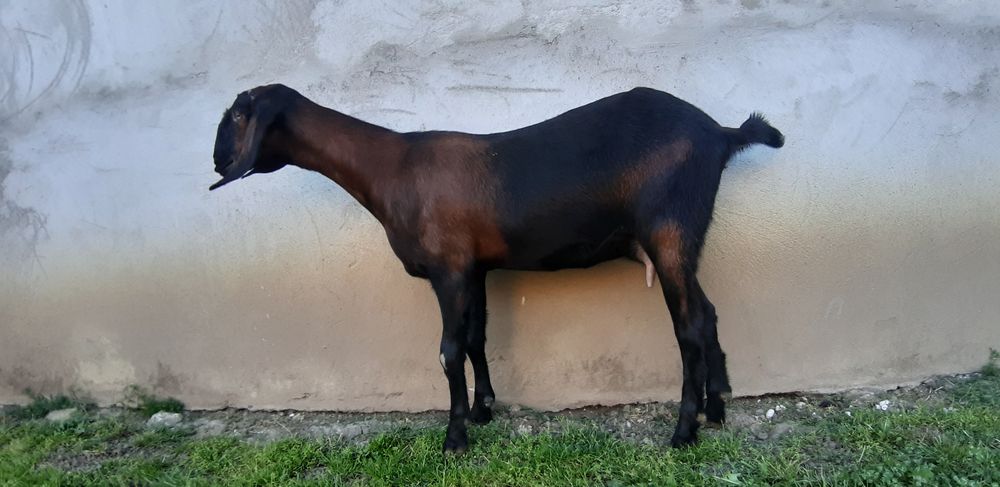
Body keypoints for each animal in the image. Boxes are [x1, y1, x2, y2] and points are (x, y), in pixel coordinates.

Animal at [210, 84, 784, 454]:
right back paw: (717, 407)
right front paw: (484, 409)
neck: (392, 168)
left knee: (688, 325)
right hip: (683, 240)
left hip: (669, 231)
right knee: (707, 313)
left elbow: (447, 351)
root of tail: (720, 133)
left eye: (237, 115)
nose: (217, 162)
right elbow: (476, 338)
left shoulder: (448, 270)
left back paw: (684, 433)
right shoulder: (474, 269)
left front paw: (454, 439)